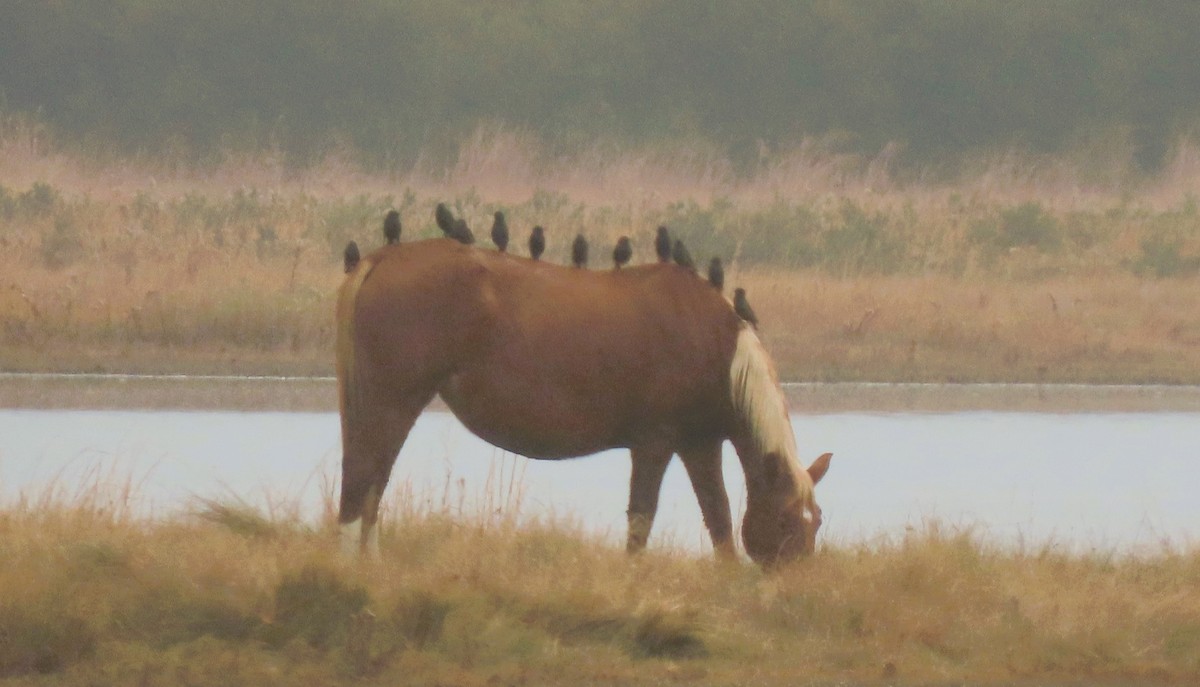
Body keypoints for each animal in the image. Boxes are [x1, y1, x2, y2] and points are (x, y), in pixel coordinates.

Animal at [333, 239, 830, 566]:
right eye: (785, 522)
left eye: (817, 520)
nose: (794, 591)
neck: (712, 343)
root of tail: (384, 257)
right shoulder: (654, 443)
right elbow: (641, 520)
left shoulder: (699, 444)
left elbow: (720, 519)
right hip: (392, 402)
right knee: (363, 479)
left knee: (372, 484)